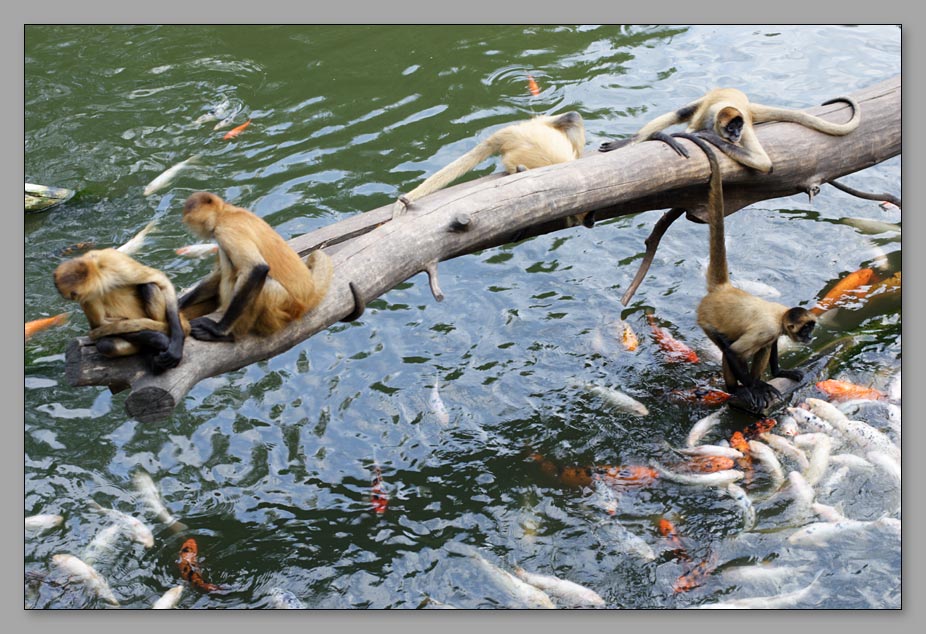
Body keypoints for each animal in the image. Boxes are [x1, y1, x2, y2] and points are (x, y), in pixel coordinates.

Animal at [54, 247, 188, 370]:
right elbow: (99, 325)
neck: (98, 273)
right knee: (106, 344)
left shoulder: (116, 262)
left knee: (149, 285)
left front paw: (176, 346)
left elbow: (161, 281)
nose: (67, 297)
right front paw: (158, 339)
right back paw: (149, 346)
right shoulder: (88, 295)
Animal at [178, 191, 334, 344]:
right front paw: (179, 303)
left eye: (191, 222)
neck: (226, 212)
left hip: (287, 308)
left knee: (266, 285)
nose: (191, 230)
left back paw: (233, 335)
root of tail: (309, 294)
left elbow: (257, 268)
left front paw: (218, 330)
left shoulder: (225, 230)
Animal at [600, 87, 864, 173]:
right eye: (731, 127)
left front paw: (708, 137)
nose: (736, 134)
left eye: (738, 128)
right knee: (682, 112)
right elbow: (688, 128)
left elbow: (765, 164)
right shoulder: (707, 115)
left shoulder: (745, 127)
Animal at [676, 131, 820, 412]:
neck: (778, 315)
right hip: (706, 321)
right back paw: (736, 389)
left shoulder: (775, 331)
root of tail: (723, 288)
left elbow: (771, 347)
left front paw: (779, 373)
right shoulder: (767, 328)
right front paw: (755, 387)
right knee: (726, 347)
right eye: (805, 329)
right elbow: (735, 352)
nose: (810, 336)